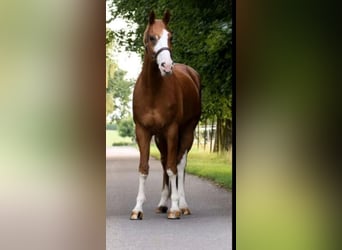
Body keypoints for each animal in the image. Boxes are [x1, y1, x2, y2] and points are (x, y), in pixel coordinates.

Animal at [130, 10, 200, 220]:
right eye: (152, 37)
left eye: (171, 37)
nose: (167, 66)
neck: (153, 90)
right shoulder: (143, 131)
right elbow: (144, 169)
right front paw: (137, 208)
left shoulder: (172, 130)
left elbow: (172, 168)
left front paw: (175, 208)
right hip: (160, 138)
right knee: (163, 162)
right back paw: (162, 204)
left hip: (187, 132)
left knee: (180, 164)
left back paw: (182, 205)